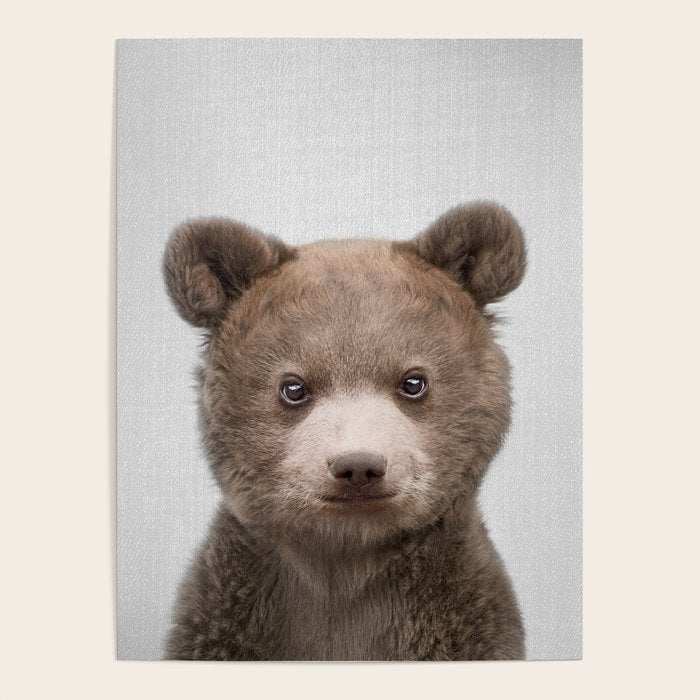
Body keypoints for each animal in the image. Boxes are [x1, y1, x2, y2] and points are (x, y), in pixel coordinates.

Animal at [162, 201, 527, 661]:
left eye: (413, 381)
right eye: (294, 387)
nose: (358, 466)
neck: (344, 564)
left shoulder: (462, 619)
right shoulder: (228, 616)